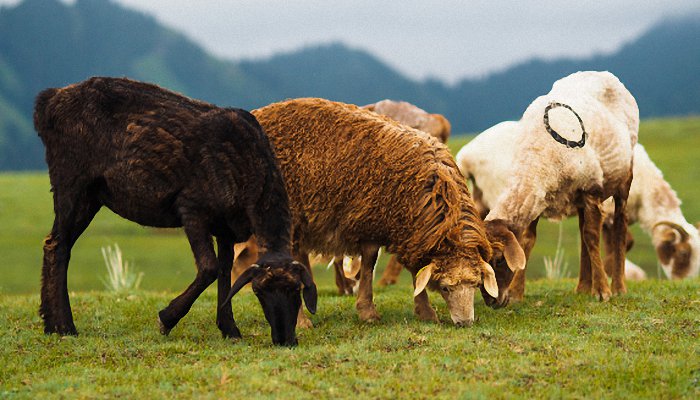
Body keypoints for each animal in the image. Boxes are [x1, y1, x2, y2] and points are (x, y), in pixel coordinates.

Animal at [34, 76, 316, 346]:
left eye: (296, 290)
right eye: (258, 291)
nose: (285, 340)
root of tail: (49, 101)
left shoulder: (226, 227)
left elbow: (225, 273)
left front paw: (230, 329)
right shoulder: (191, 209)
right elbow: (209, 268)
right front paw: (166, 319)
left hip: (91, 195)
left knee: (55, 245)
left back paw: (50, 323)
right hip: (71, 180)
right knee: (58, 245)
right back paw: (65, 326)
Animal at [456, 69, 636, 306]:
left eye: (500, 260)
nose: (492, 302)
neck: (536, 156)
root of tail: (603, 73)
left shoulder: (591, 190)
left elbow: (592, 238)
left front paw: (602, 291)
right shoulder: (538, 195)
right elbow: (528, 240)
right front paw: (516, 293)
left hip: (625, 176)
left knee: (619, 225)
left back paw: (618, 287)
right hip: (578, 198)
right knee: (583, 231)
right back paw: (582, 287)